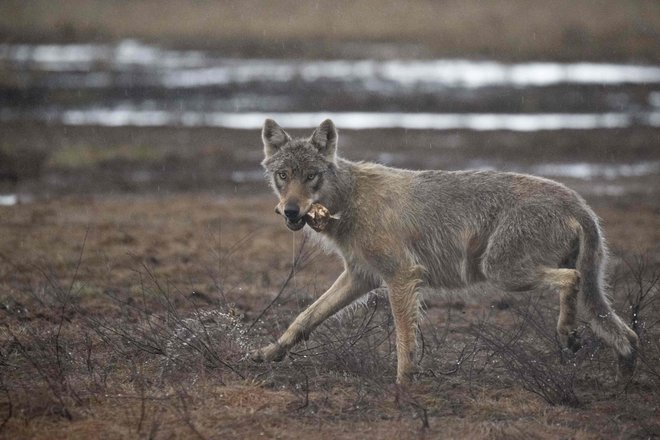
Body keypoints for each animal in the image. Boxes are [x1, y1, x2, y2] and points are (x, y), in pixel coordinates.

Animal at [249, 118, 640, 384]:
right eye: (283, 175)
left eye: (311, 176)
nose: (291, 211)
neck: (349, 201)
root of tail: (578, 201)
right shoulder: (360, 278)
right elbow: (304, 318)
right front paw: (270, 352)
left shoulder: (402, 276)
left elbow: (404, 340)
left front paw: (403, 388)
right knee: (629, 336)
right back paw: (623, 380)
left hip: (504, 273)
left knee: (572, 279)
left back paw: (569, 334)